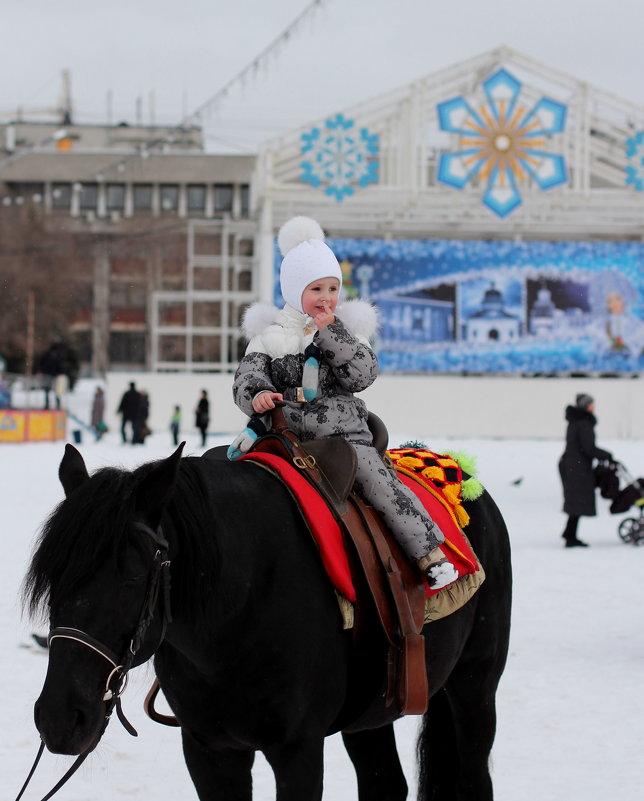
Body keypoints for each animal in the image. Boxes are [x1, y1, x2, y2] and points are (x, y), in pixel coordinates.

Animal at [22, 444, 510, 800]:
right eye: (54, 577)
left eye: (133, 575)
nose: (60, 718)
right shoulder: (209, 750)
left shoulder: (298, 750)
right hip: (371, 713)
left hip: (474, 685)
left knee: (474, 778)